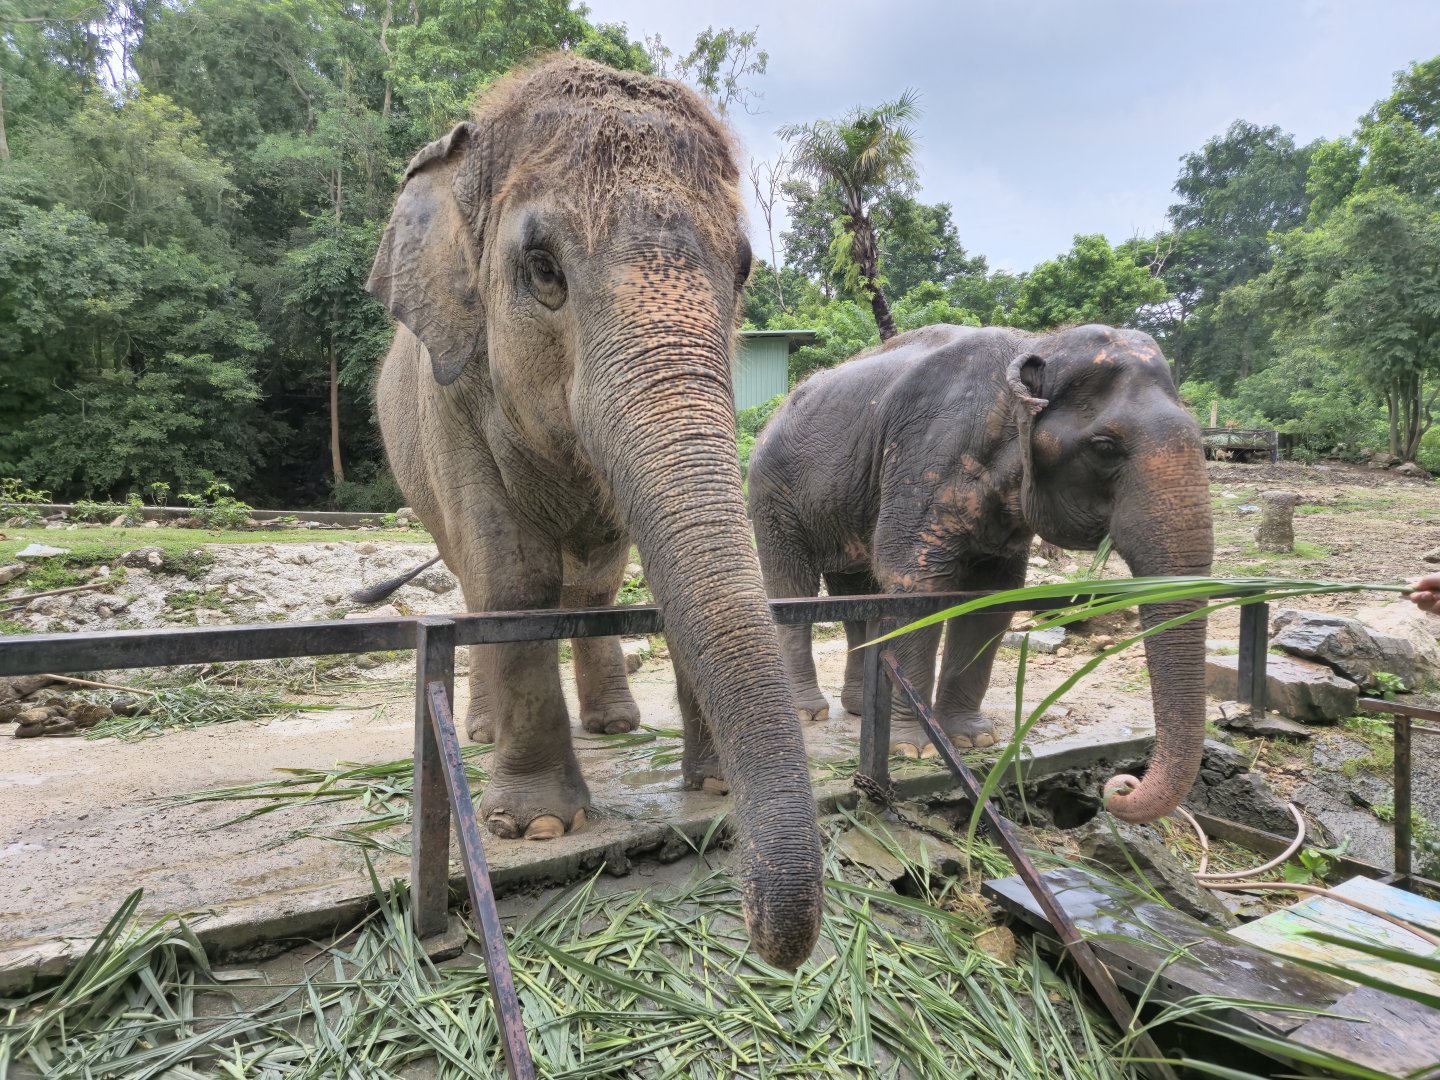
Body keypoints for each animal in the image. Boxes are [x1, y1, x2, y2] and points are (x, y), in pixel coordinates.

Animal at [366, 56, 821, 968]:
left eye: (744, 270)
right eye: (542, 268)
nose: (765, 930)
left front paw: (710, 786)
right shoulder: (451, 395)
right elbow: (513, 576)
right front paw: (539, 826)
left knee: (597, 582)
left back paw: (614, 725)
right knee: (482, 582)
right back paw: (480, 734)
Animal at [747, 323, 1214, 825]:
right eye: (1105, 447)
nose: (1122, 786)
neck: (1036, 345)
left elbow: (993, 598)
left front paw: (973, 740)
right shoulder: (926, 460)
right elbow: (913, 583)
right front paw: (914, 751)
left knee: (856, 592)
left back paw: (855, 709)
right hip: (773, 495)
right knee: (792, 583)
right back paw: (808, 713)